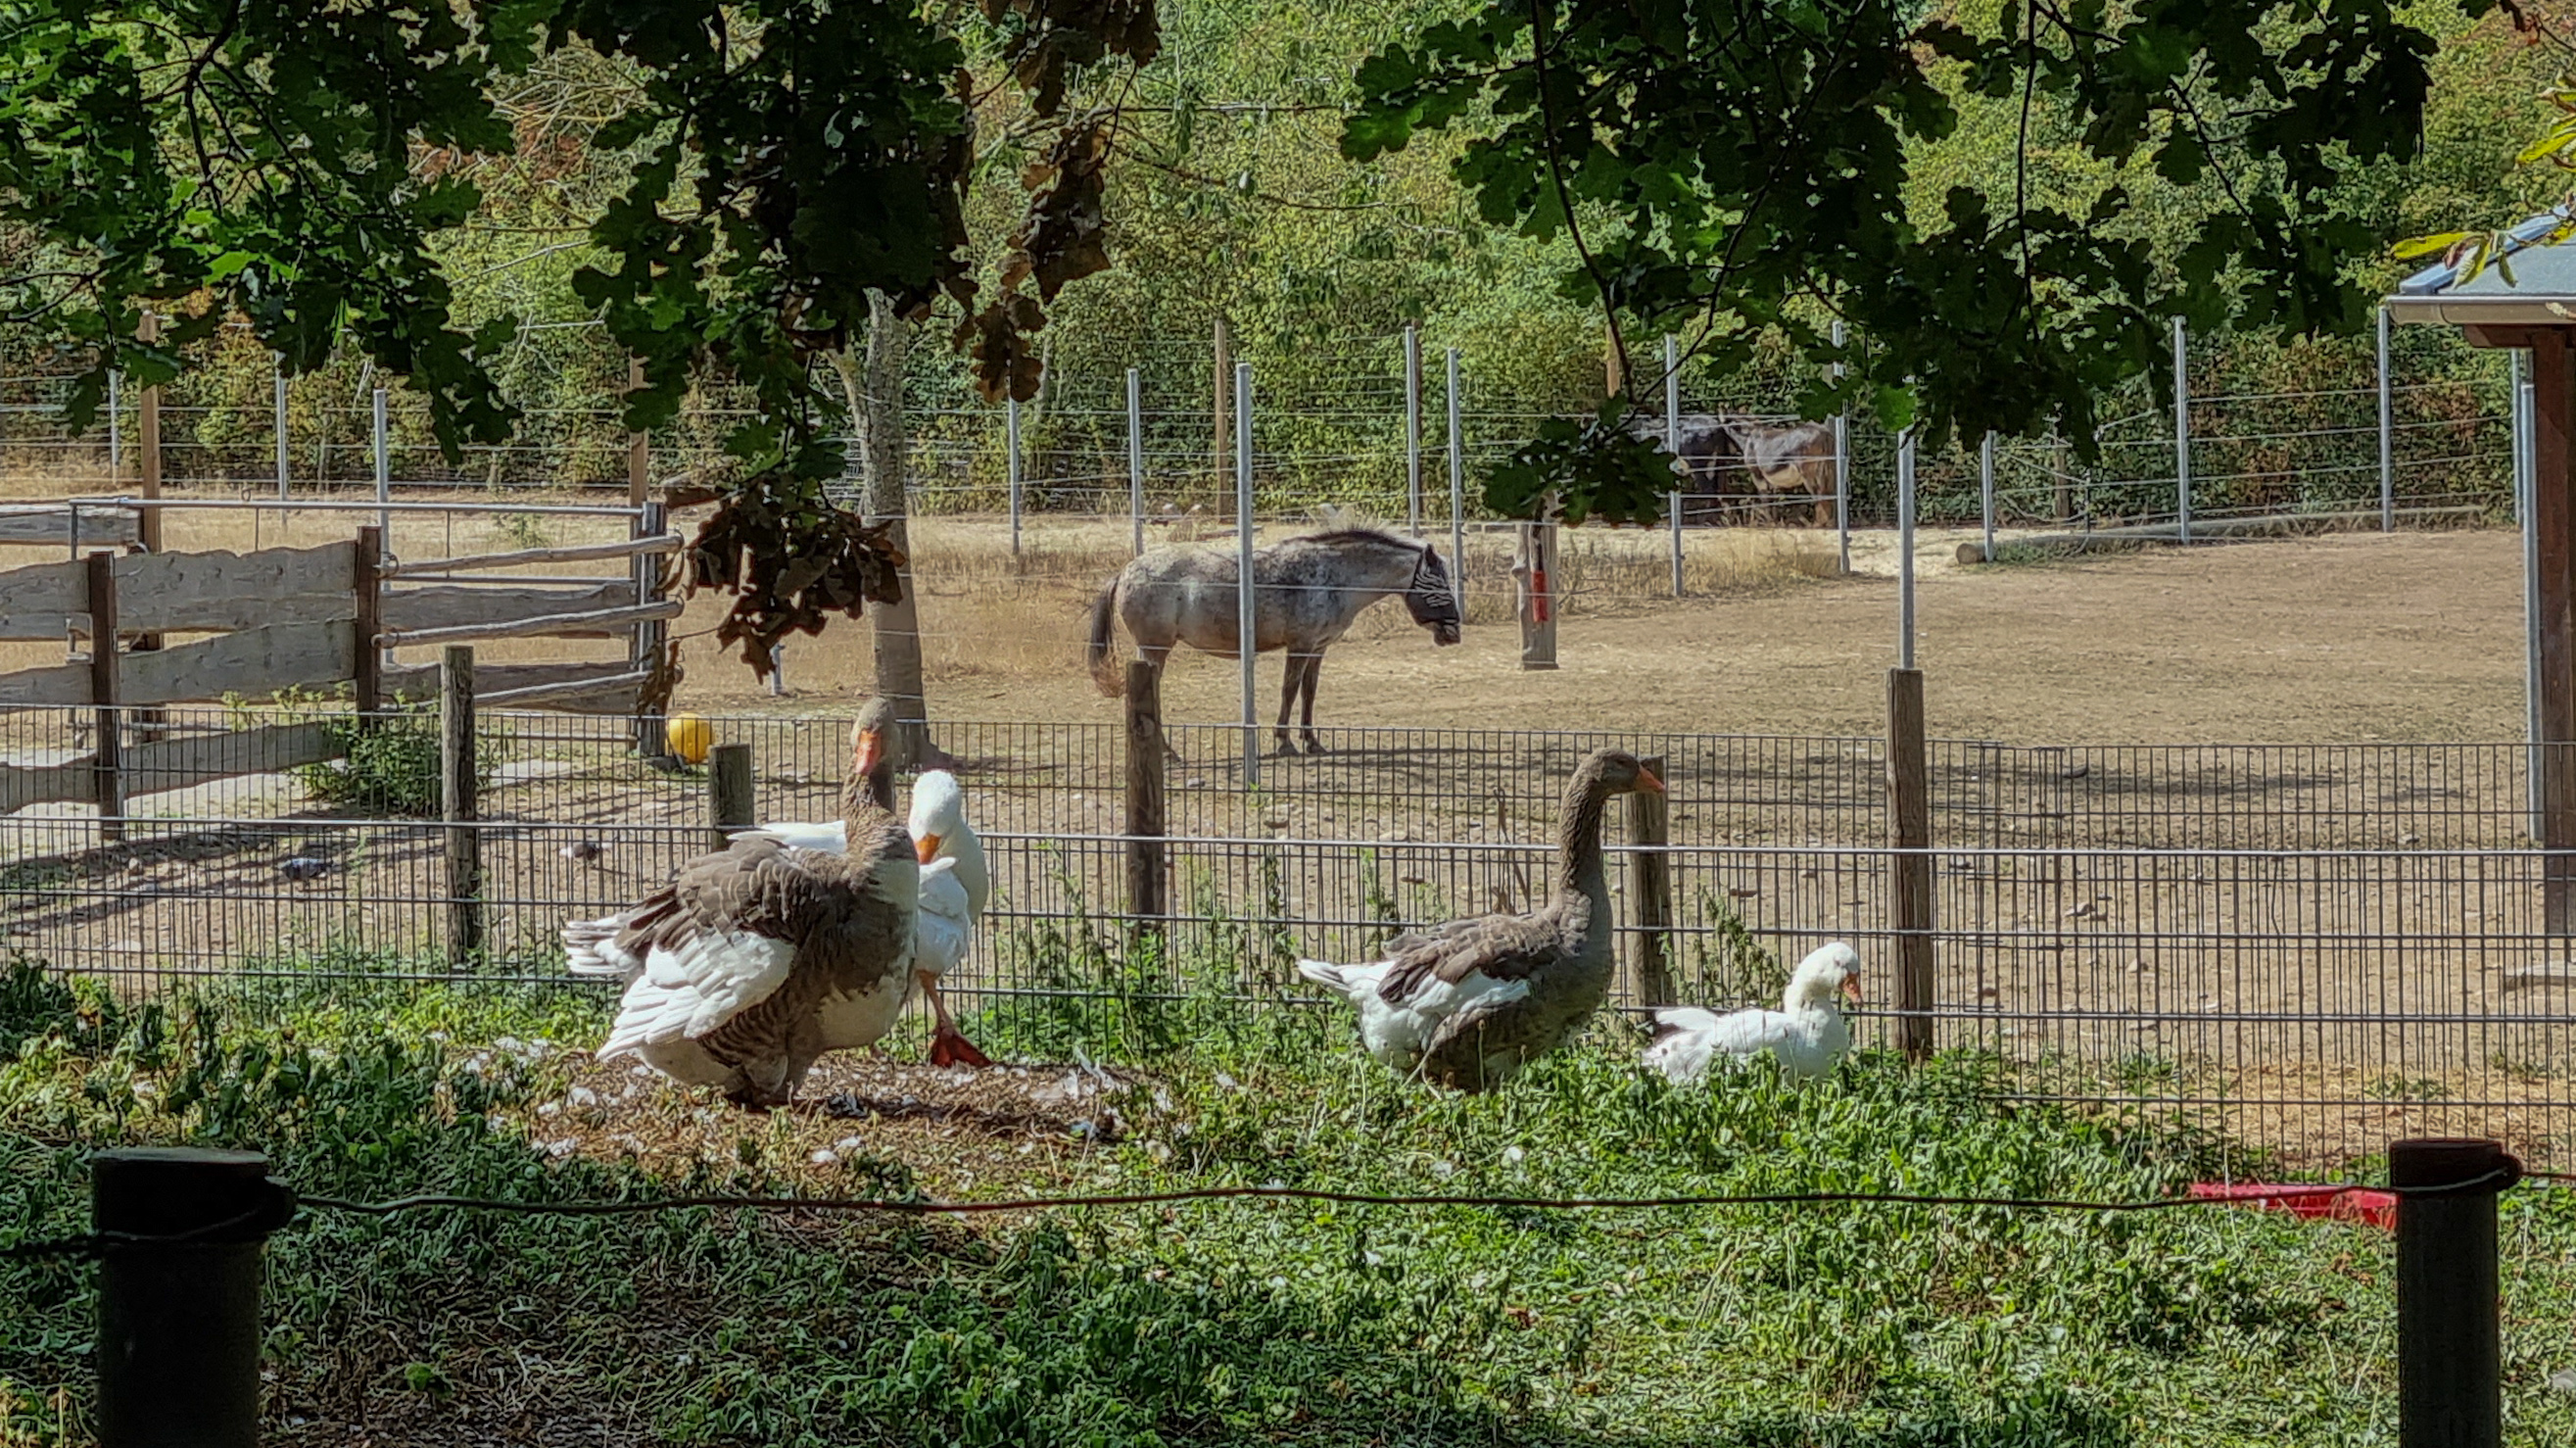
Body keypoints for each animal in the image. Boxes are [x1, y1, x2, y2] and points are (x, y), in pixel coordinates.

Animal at [1076, 530, 1462, 757]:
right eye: (1440, 584)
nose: (1454, 634)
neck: (1331, 578)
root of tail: (1125, 570)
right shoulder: (1300, 644)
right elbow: (1289, 691)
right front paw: (1285, 741)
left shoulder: (1318, 648)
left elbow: (1309, 692)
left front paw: (1312, 741)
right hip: (1155, 649)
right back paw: (1167, 752)